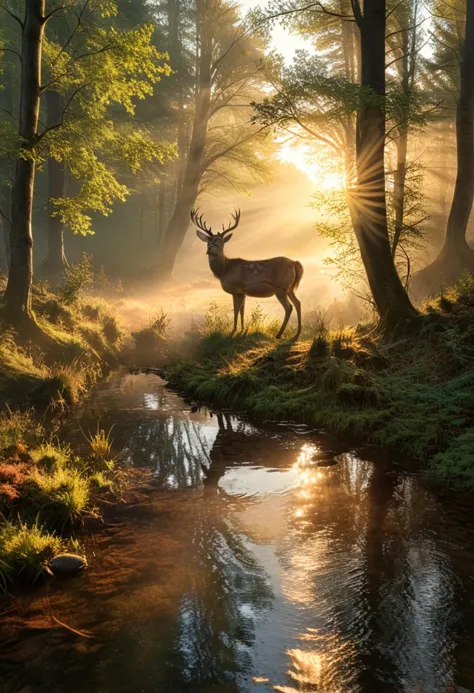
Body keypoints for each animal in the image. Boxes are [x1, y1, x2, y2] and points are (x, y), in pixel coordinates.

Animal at [190, 207, 304, 340]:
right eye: (208, 242)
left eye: (220, 242)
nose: (209, 251)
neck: (225, 269)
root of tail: (295, 262)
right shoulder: (242, 292)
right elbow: (242, 311)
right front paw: (242, 330)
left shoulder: (236, 289)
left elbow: (236, 310)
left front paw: (233, 331)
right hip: (289, 288)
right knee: (298, 303)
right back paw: (297, 333)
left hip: (281, 288)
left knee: (289, 307)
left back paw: (279, 334)